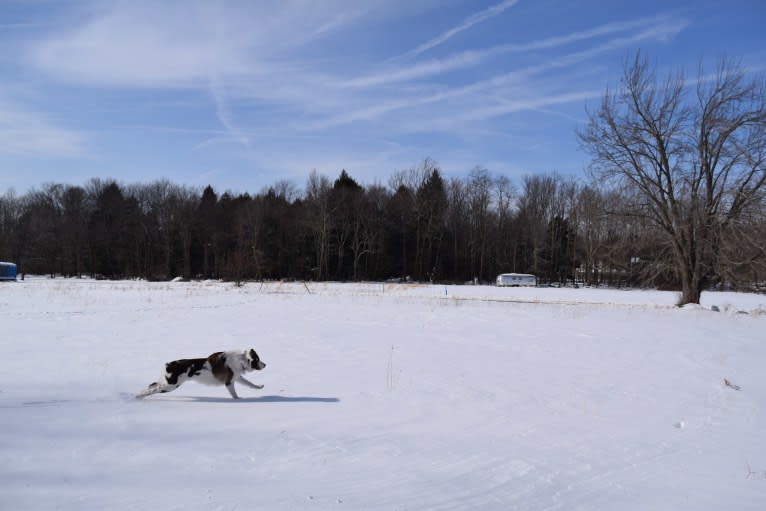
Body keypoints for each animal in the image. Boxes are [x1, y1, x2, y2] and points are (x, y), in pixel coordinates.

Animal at [137, 350, 268, 402]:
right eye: (257, 360)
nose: (265, 364)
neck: (241, 361)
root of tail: (169, 365)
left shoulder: (237, 377)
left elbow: (249, 383)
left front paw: (259, 387)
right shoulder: (229, 382)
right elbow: (234, 394)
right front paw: (238, 400)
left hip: (168, 383)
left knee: (152, 385)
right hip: (171, 386)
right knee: (153, 389)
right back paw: (138, 397)